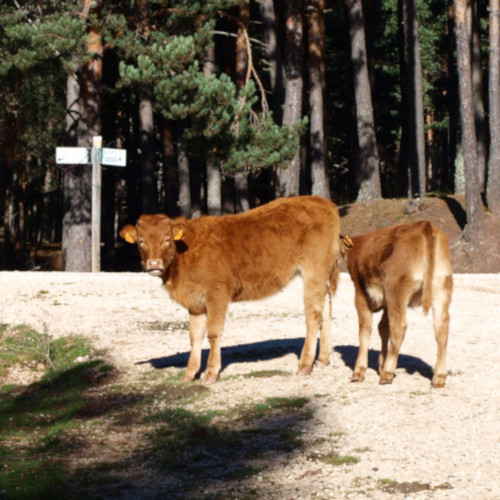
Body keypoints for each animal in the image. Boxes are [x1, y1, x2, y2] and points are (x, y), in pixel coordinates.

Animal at [120, 194, 340, 382]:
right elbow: (194, 336)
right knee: (326, 310)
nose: (154, 264)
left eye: (166, 239)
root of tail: (324, 202)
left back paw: (305, 365)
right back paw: (322, 359)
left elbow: (213, 333)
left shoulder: (217, 294)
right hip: (323, 273)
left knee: (313, 314)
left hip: (314, 270)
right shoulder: (195, 302)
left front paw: (211, 373)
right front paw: (190, 373)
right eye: (141, 241)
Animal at [342, 221, 452, 388]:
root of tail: (424, 224)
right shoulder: (386, 304)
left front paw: (359, 371)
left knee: (399, 326)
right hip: (441, 290)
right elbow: (383, 329)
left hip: (397, 291)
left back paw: (387, 373)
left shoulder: (361, 294)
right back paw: (439, 377)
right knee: (441, 330)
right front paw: (380, 364)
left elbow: (365, 329)